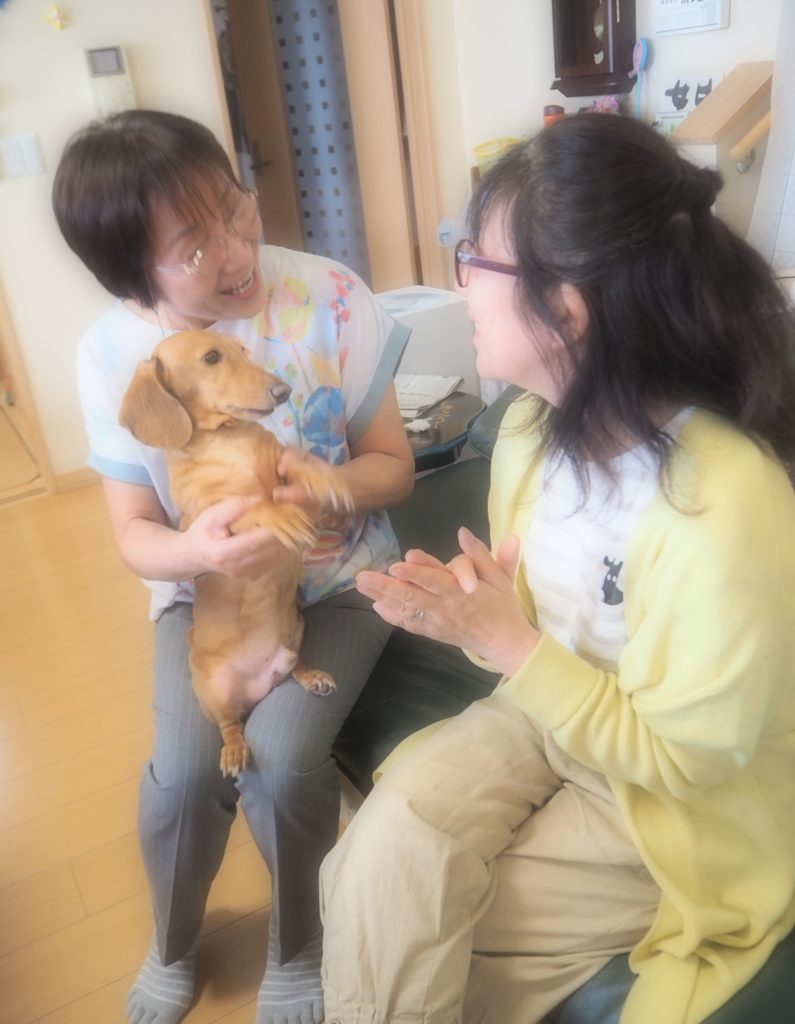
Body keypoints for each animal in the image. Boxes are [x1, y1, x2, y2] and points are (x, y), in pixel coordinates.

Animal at [119, 329, 353, 777]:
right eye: (211, 357)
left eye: (242, 351)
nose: (283, 392)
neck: (228, 441)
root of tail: (258, 688)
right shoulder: (210, 516)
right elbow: (252, 506)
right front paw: (280, 516)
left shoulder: (280, 463)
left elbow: (296, 464)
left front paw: (326, 478)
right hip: (211, 689)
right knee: (230, 726)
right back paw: (233, 751)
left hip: (295, 630)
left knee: (293, 667)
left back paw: (311, 675)